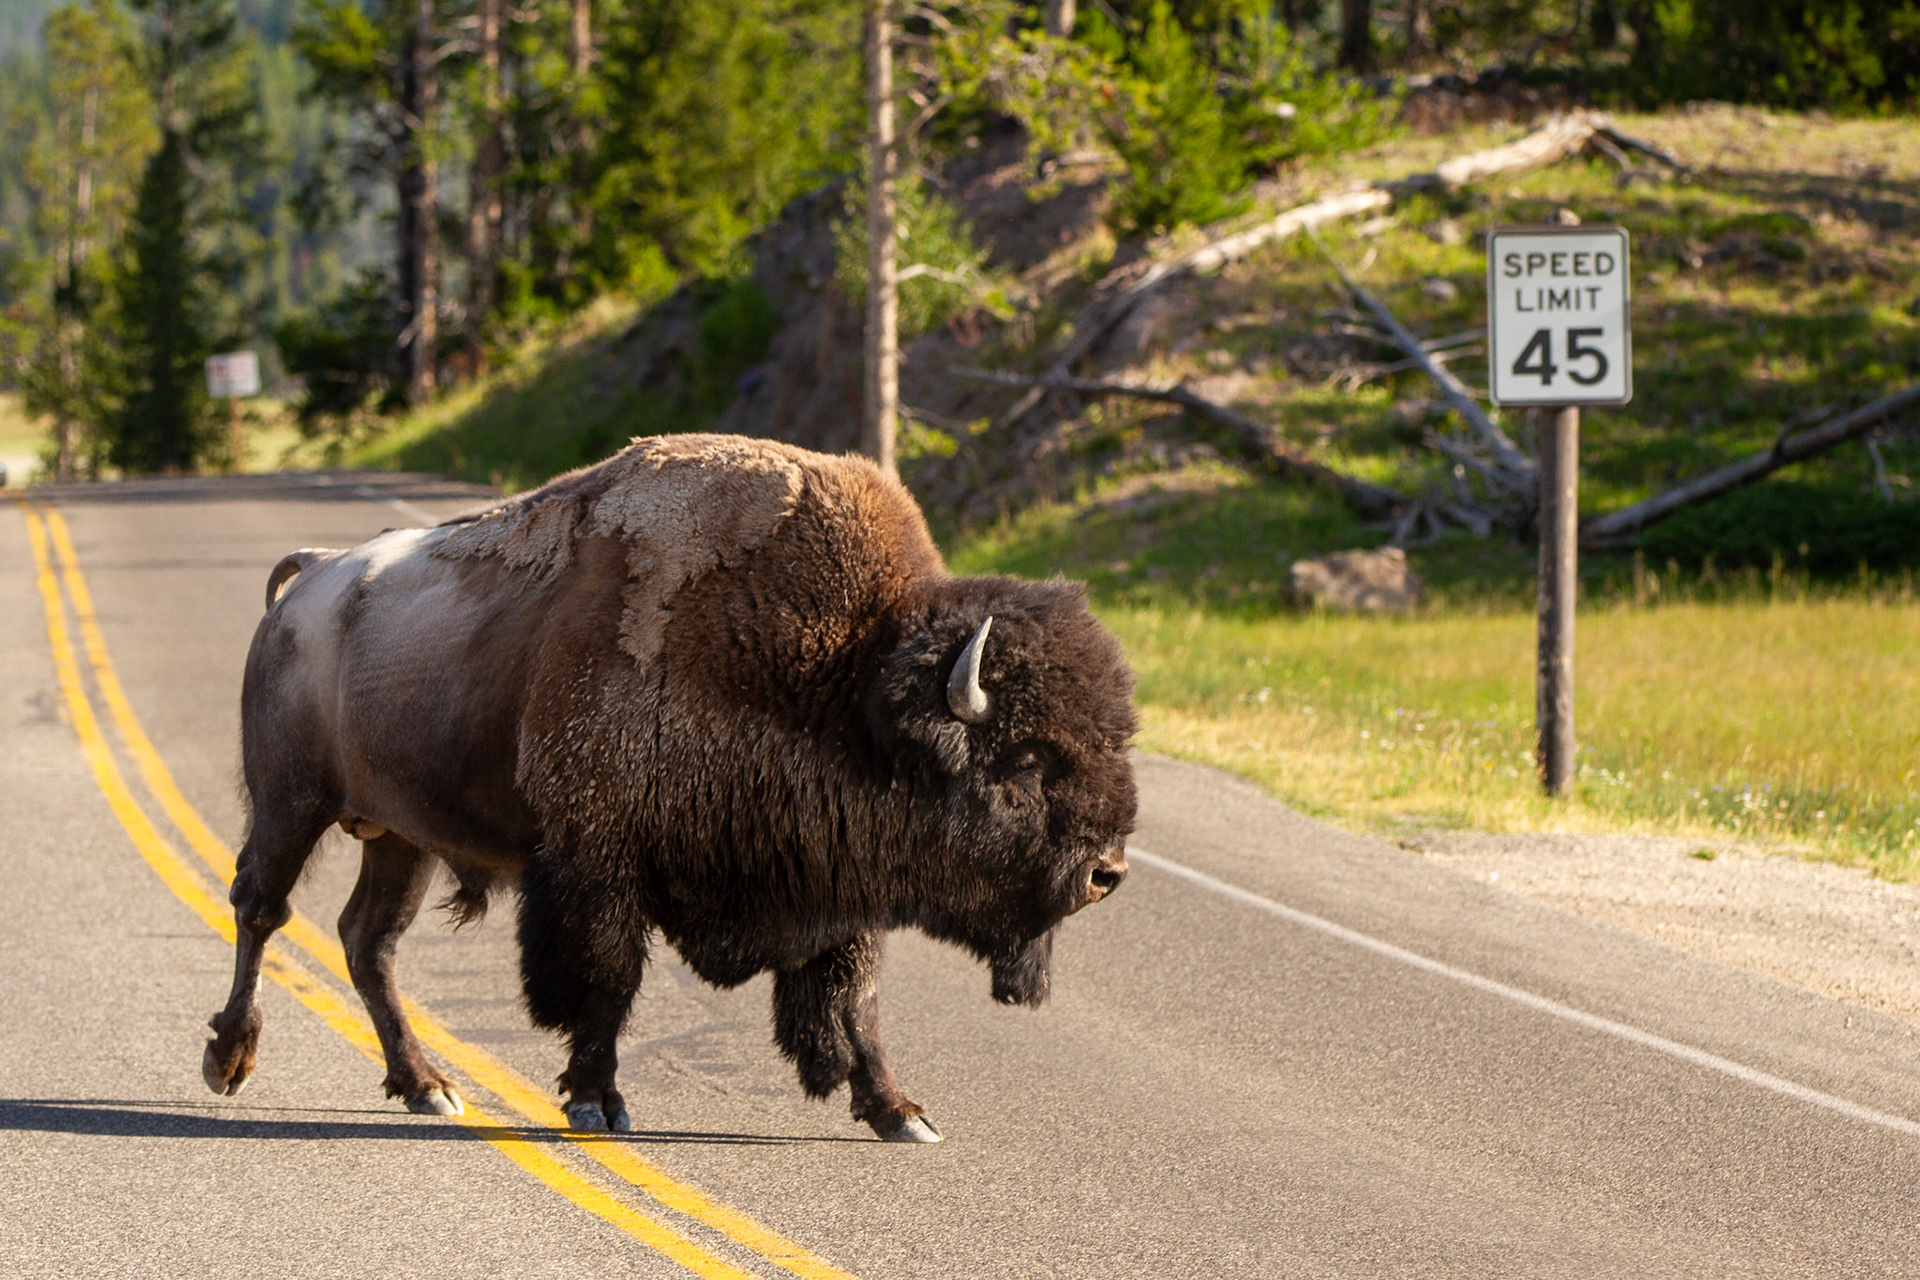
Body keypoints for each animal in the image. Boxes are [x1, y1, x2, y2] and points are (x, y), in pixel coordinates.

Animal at [204, 434, 1137, 1141]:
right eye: (1024, 761)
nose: (1108, 872)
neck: (845, 679)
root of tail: (316, 573)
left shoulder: (842, 888)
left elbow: (855, 998)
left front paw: (900, 1112)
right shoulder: (599, 866)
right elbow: (608, 981)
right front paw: (596, 1101)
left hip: (402, 836)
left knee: (370, 941)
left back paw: (428, 1085)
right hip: (293, 804)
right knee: (261, 906)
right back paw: (229, 1061)